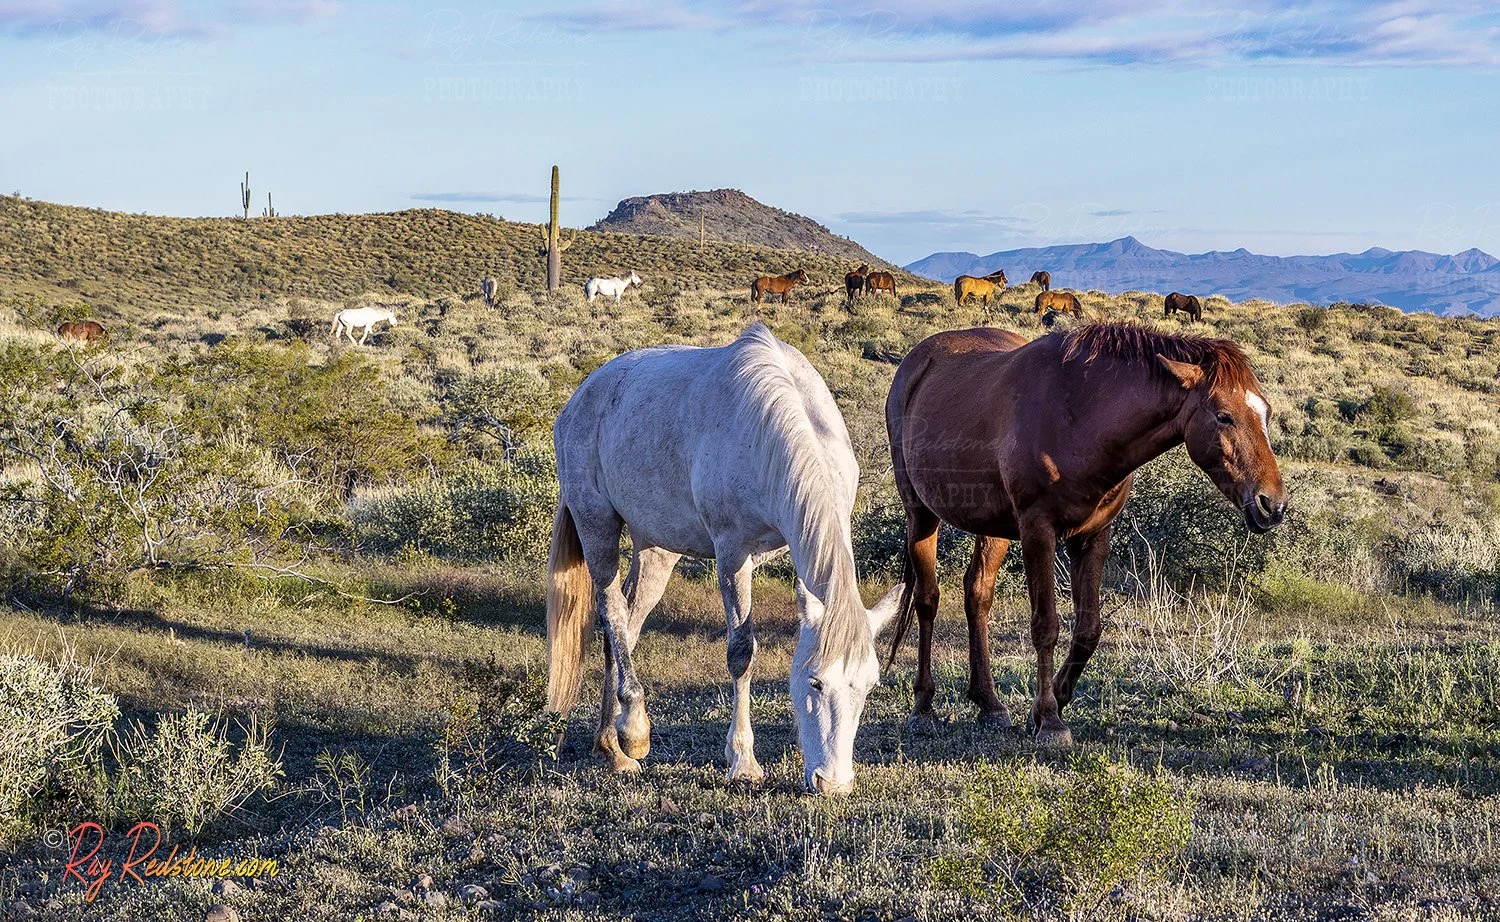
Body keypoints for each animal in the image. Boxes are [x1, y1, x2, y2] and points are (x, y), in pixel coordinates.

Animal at [546, 323, 902, 794]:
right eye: (815, 682)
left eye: (868, 685)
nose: (833, 784)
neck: (768, 431)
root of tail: (579, 399)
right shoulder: (733, 552)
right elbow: (741, 653)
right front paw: (743, 761)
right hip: (596, 523)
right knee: (611, 610)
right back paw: (633, 732)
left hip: (656, 548)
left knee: (624, 625)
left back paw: (611, 746)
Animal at [885, 323, 1285, 745]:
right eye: (1224, 416)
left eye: (1266, 412)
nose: (1272, 504)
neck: (1078, 417)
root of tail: (917, 361)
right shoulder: (1038, 531)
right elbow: (1046, 626)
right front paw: (1050, 720)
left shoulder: (1092, 538)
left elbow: (1088, 630)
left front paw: (1049, 706)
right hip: (920, 513)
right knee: (927, 600)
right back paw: (923, 706)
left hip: (993, 529)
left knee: (977, 595)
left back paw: (990, 704)